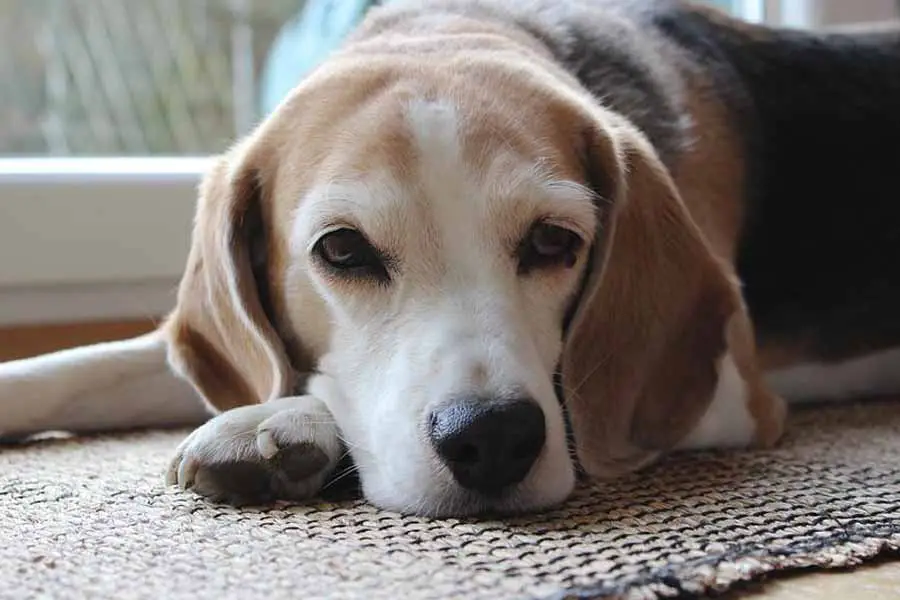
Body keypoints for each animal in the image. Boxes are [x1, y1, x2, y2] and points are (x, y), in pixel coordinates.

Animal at [1, 0, 900, 516]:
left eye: (554, 241)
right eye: (342, 249)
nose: (493, 441)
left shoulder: (731, 390)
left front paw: (274, 423)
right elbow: (77, 368)